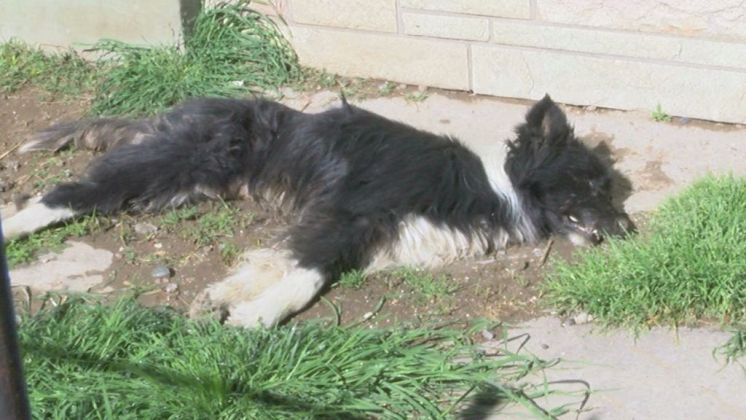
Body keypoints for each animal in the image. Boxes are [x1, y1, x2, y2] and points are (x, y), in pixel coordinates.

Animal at [1, 95, 628, 328]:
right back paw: (12, 226)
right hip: (172, 165)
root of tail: (187, 107)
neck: (495, 184)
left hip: (188, 183)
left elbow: (275, 260)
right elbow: (308, 270)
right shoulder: (351, 211)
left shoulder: (345, 224)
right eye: (591, 184)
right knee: (65, 193)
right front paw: (258, 316)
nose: (628, 229)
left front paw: (229, 297)